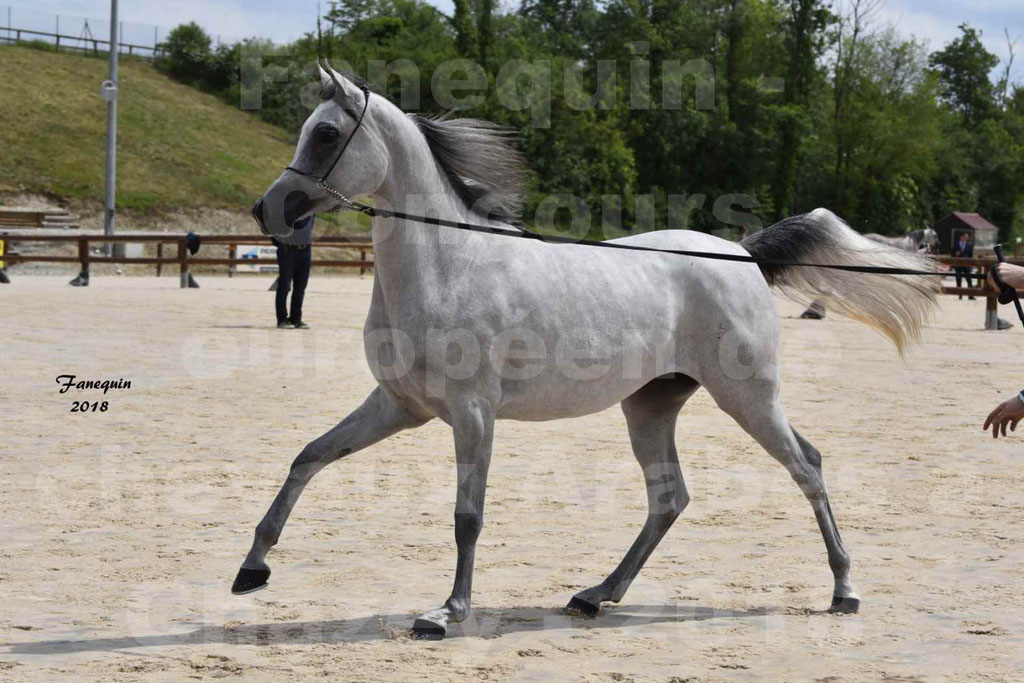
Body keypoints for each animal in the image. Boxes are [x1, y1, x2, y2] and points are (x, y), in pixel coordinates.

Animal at [235, 66, 937, 638]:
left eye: (327, 135)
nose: (270, 209)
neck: (448, 264)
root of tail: (743, 253)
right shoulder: (399, 406)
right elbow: (308, 458)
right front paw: (252, 569)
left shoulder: (472, 412)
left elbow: (468, 515)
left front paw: (447, 613)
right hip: (650, 407)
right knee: (670, 498)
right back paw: (597, 594)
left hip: (749, 398)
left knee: (807, 467)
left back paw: (844, 590)